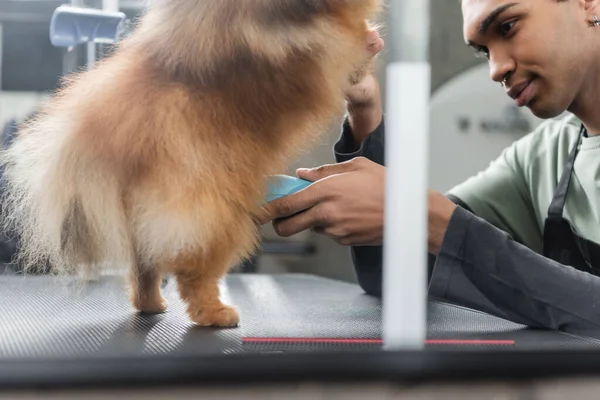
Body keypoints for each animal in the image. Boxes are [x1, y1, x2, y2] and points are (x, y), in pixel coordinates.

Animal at [1, 0, 380, 326]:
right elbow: (345, 41)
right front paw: (370, 40)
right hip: (214, 218)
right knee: (193, 274)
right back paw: (215, 314)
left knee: (144, 268)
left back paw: (152, 304)